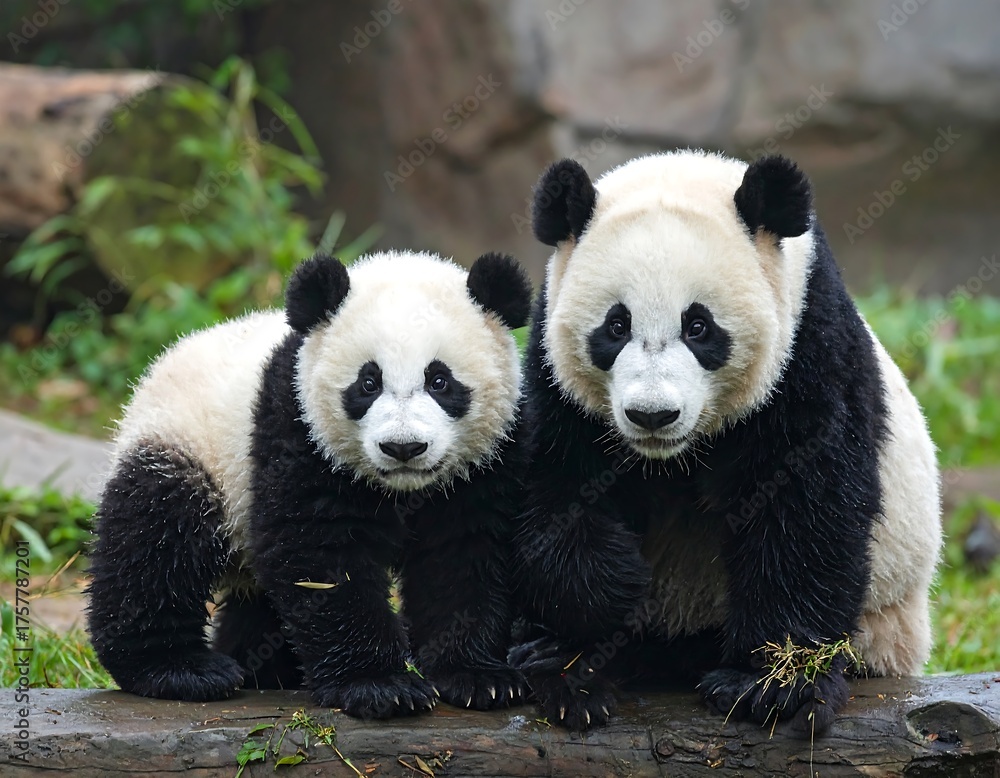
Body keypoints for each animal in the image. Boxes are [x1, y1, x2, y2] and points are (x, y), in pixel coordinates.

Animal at [87, 250, 533, 720]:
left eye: (440, 381)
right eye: (368, 383)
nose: (403, 447)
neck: (403, 490)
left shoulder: (489, 459)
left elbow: (464, 553)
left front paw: (478, 677)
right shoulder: (299, 431)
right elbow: (321, 557)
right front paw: (380, 686)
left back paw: (264, 668)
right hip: (187, 446)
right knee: (156, 539)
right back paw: (179, 669)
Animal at [510, 151, 941, 734]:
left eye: (699, 326)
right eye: (615, 326)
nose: (652, 415)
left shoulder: (807, 347)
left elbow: (806, 506)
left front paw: (772, 686)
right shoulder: (555, 377)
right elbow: (556, 486)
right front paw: (607, 599)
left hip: (885, 619)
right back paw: (560, 669)